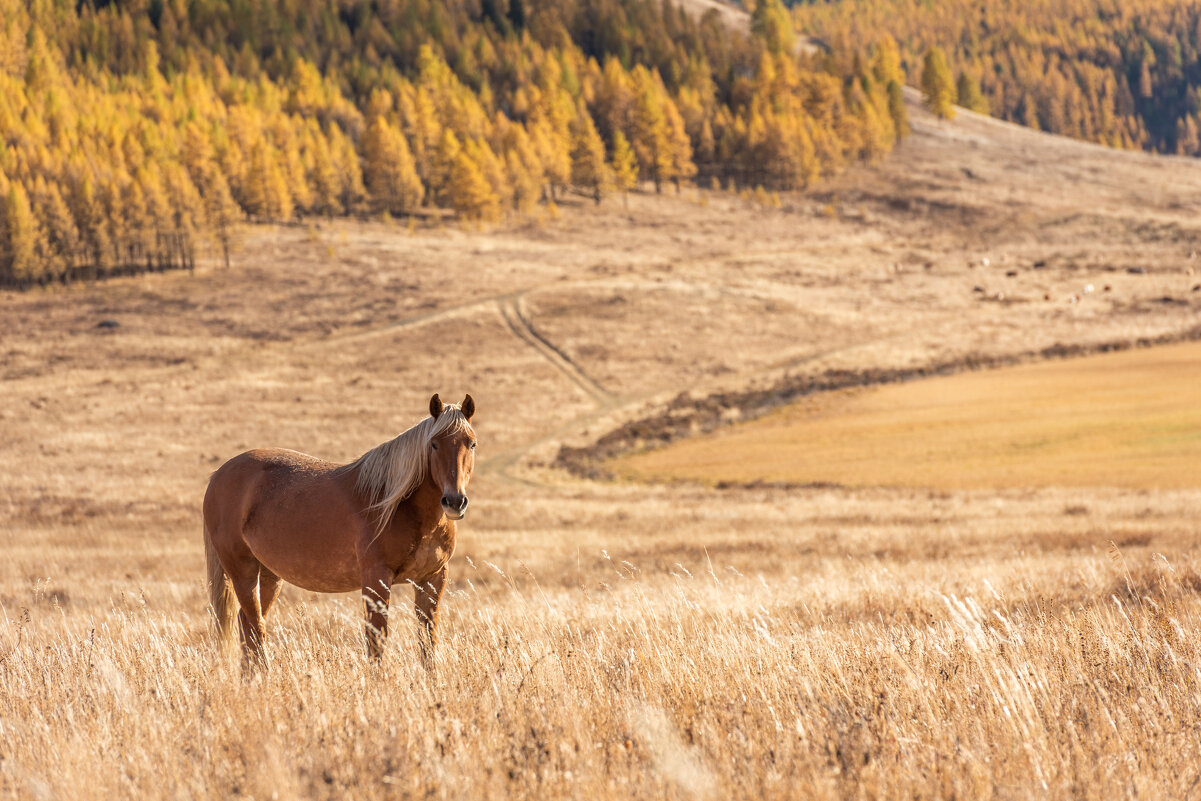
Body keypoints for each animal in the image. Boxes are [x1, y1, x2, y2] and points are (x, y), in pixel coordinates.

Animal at [200, 391, 473, 667]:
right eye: (434, 444)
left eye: (471, 444)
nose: (454, 501)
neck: (397, 505)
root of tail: (218, 476)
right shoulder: (376, 579)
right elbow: (376, 641)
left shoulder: (432, 579)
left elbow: (428, 641)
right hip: (242, 571)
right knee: (255, 627)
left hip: (268, 575)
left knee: (247, 624)